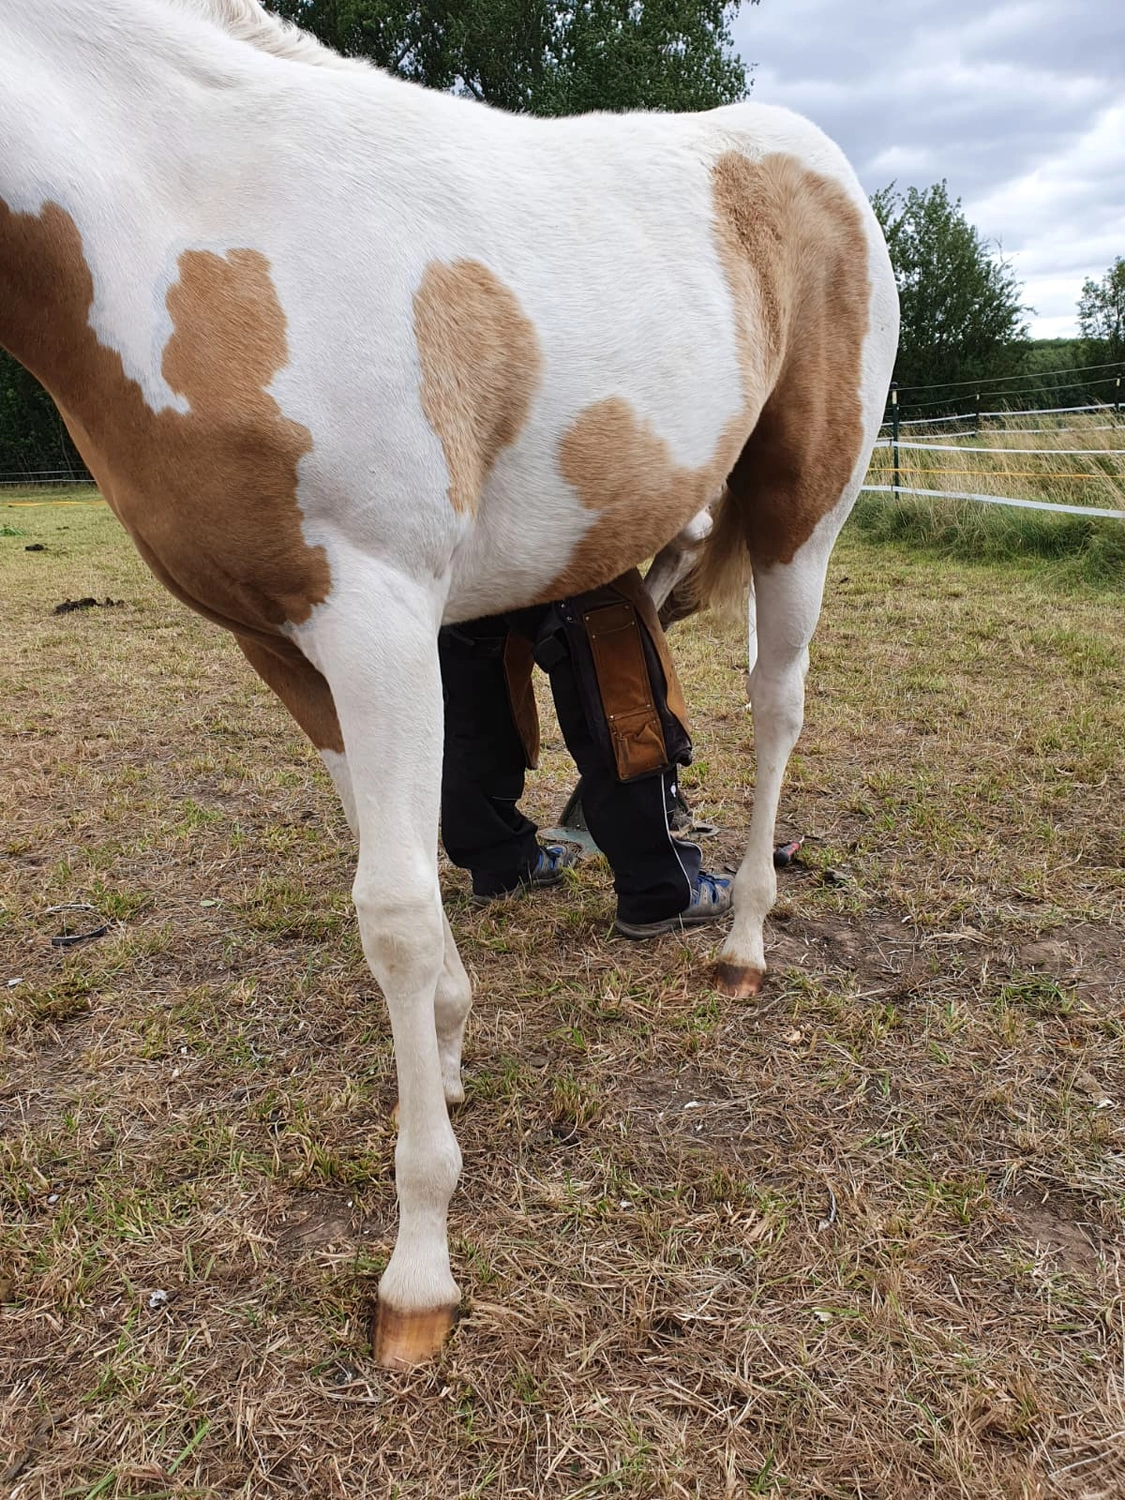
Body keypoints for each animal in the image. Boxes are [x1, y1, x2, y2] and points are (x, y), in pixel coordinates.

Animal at [0, 0, 899, 1366]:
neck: (183, 214)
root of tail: (818, 163)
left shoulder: (377, 616)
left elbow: (396, 914)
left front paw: (418, 1265)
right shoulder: (288, 646)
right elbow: (412, 873)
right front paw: (458, 1043)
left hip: (806, 510)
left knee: (776, 709)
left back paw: (744, 937)